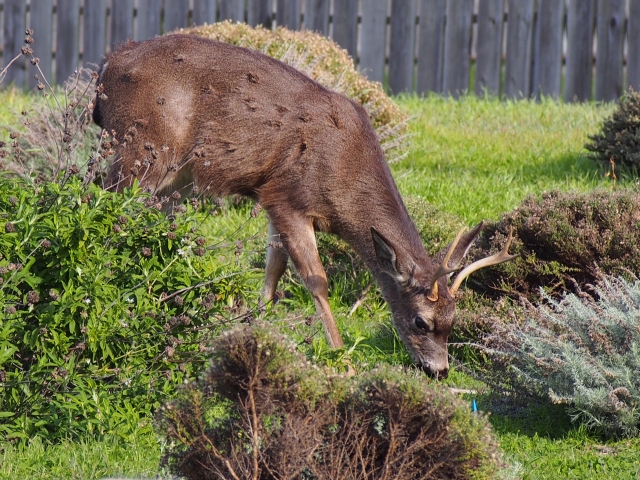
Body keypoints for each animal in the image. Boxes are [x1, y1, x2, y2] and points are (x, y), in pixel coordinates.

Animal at [92, 32, 516, 378]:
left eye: (453, 321)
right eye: (420, 322)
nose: (439, 371)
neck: (344, 177)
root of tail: (107, 67)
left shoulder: (270, 196)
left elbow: (273, 270)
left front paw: (254, 331)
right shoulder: (288, 196)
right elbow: (315, 279)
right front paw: (342, 359)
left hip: (173, 177)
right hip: (141, 147)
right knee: (104, 203)